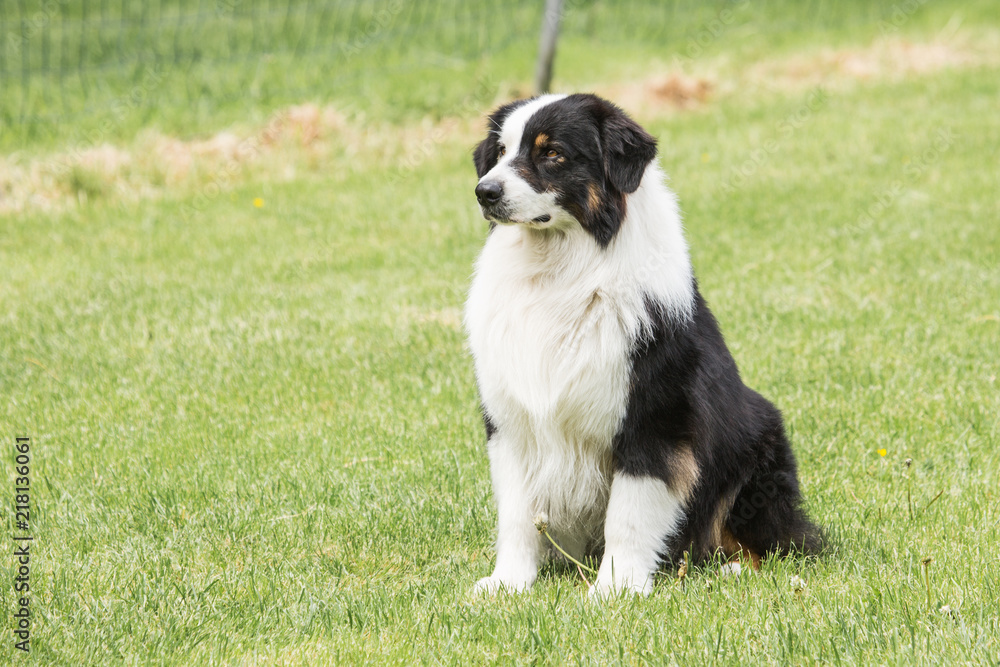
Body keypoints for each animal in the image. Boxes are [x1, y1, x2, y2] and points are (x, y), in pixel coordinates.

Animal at [462, 91, 820, 596]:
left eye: (552, 153)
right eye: (498, 152)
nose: (485, 192)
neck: (558, 274)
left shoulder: (655, 418)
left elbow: (628, 514)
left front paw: (614, 590)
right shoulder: (511, 419)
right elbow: (516, 513)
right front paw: (506, 584)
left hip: (758, 445)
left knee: (774, 542)